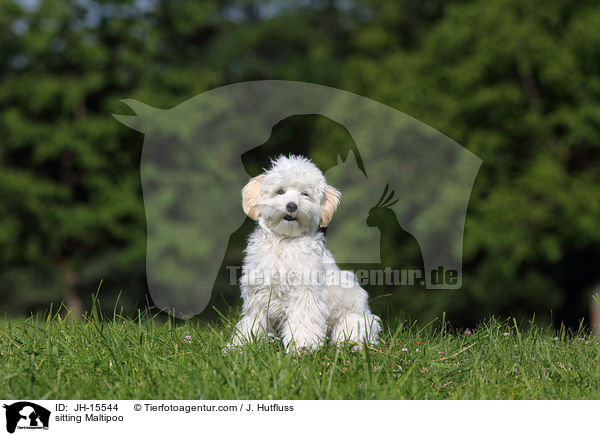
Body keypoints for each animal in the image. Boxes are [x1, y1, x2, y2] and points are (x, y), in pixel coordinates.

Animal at [227, 155, 382, 352]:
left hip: (353, 319)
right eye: (280, 191)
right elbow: (253, 323)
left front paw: (303, 347)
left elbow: (303, 321)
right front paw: (242, 346)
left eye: (305, 194)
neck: (285, 241)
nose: (292, 206)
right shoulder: (258, 295)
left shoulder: (306, 293)